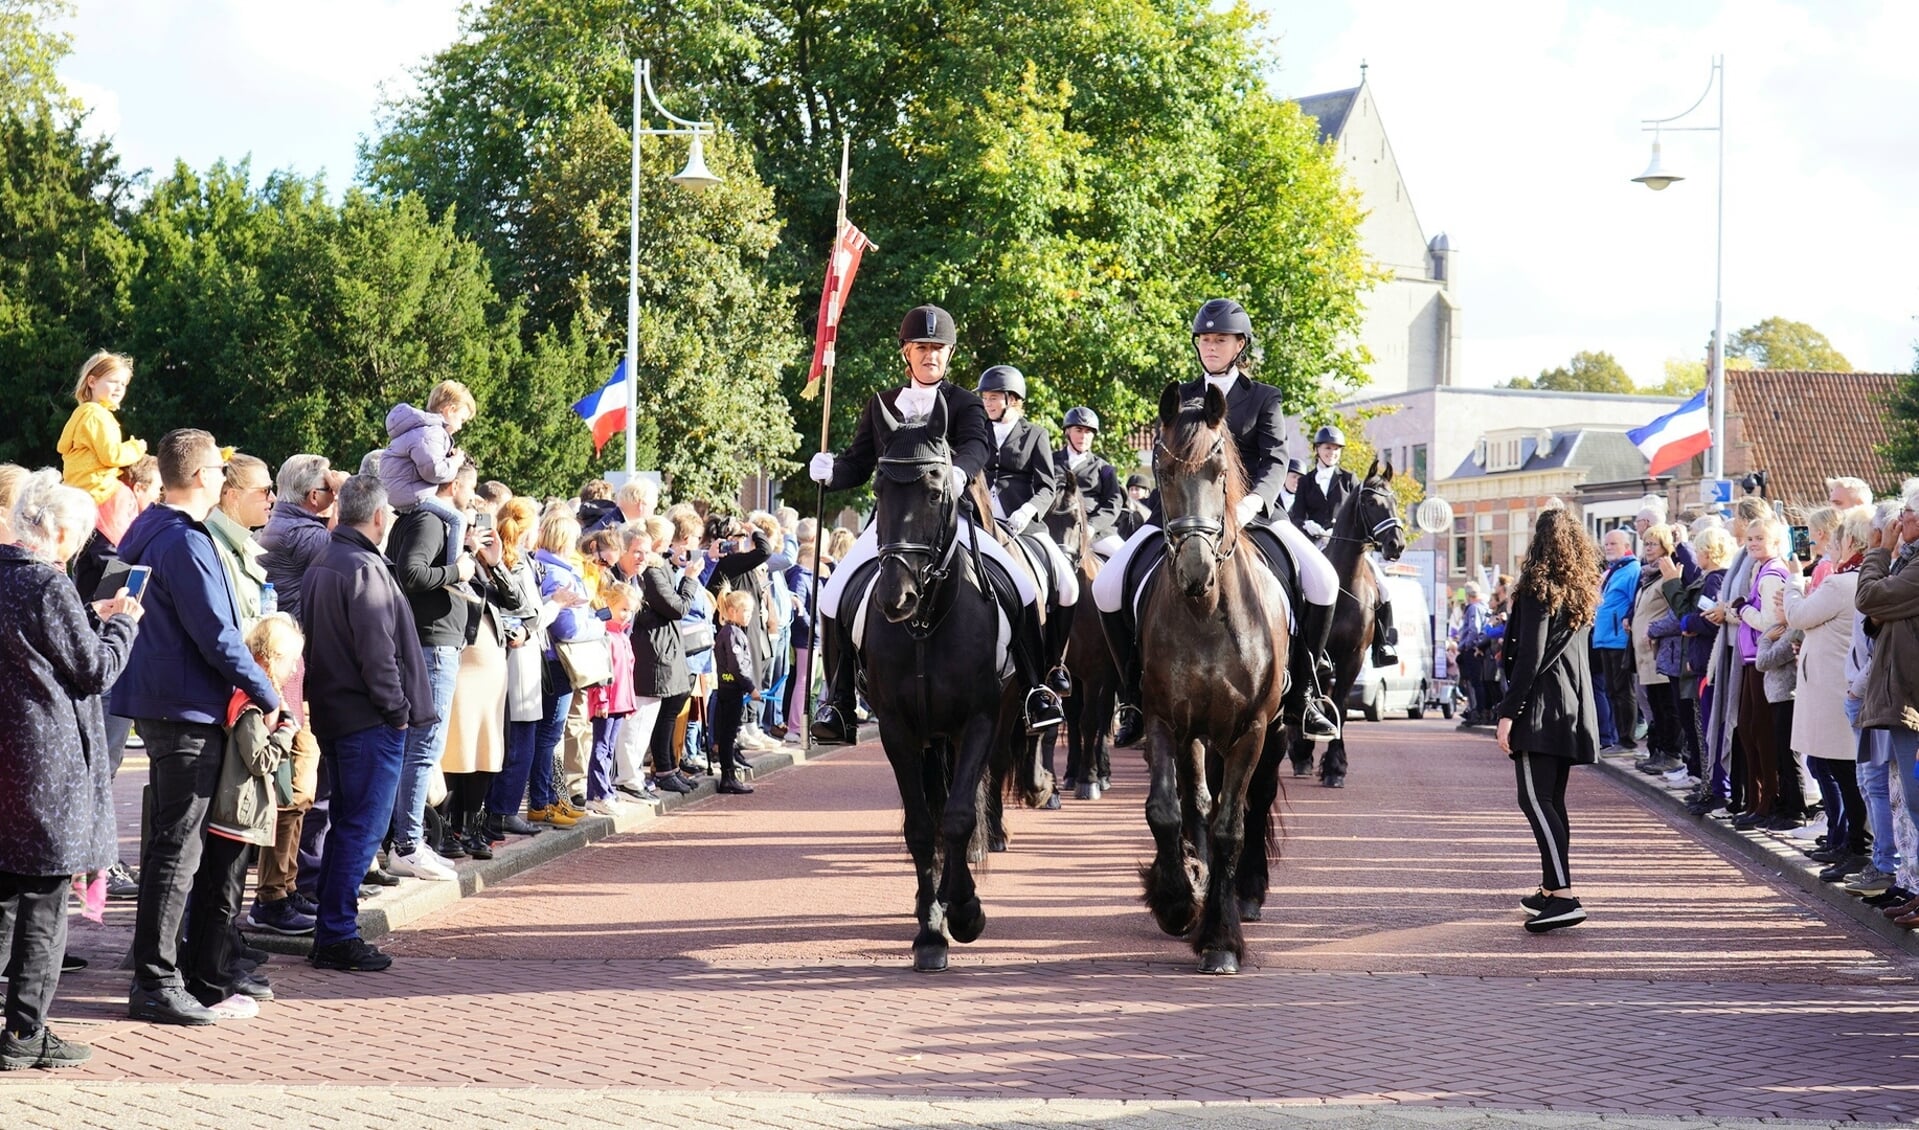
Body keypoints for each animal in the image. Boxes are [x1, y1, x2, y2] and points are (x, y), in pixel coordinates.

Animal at [863, 397, 1059, 970]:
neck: (927, 624)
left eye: (935, 491)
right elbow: (921, 824)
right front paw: (930, 931)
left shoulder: (978, 720)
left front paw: (966, 911)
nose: (895, 597)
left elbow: (955, 817)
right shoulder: (898, 730)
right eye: (878, 491)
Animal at [1136, 383, 1289, 974]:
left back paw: (1245, 894)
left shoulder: (1251, 729)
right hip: (1197, 733)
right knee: (1198, 800)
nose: (1195, 573)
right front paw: (1177, 902)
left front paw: (1221, 939)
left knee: (1254, 800)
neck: (1206, 614)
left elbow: (1231, 825)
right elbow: (1166, 810)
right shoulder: (1163, 718)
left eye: (1220, 469)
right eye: (1161, 468)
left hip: (1274, 731)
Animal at [1289, 458, 1412, 782]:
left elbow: (1341, 707)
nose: (1396, 544)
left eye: (1394, 500)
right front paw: (1307, 754)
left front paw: (1335, 766)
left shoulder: (1353, 656)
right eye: (1369, 501)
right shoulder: (1320, 655)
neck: (1344, 583)